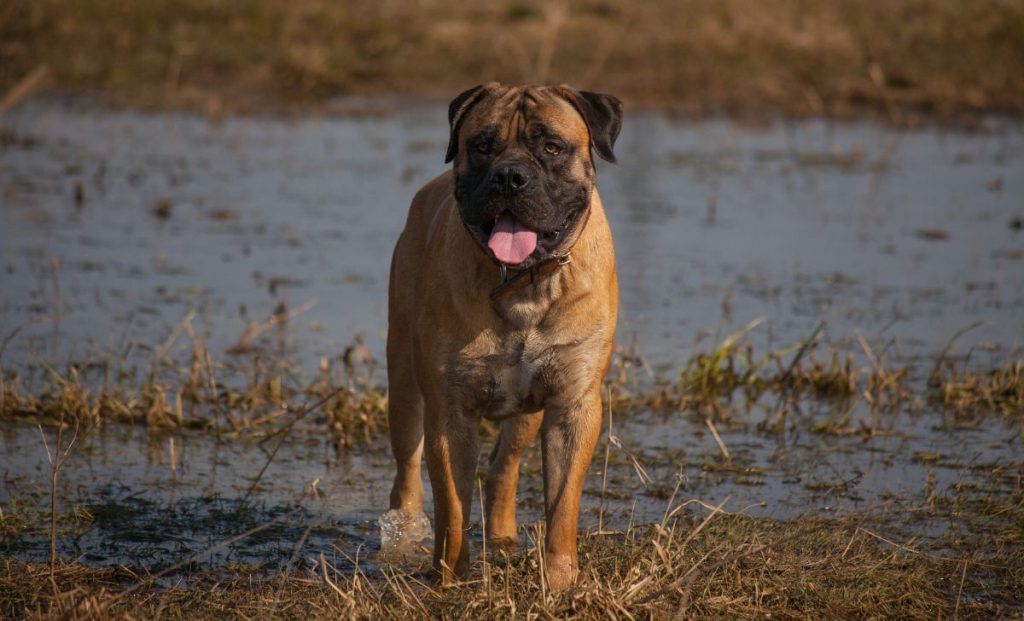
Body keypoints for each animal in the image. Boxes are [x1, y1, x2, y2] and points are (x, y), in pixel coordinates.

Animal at [385, 84, 618, 594]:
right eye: (482, 146)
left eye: (551, 147)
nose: (509, 176)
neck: (523, 284)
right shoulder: (448, 413)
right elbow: (452, 507)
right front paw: (451, 579)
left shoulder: (573, 405)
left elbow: (563, 504)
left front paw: (560, 579)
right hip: (404, 387)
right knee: (407, 473)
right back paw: (403, 538)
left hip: (526, 412)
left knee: (503, 469)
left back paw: (504, 537)